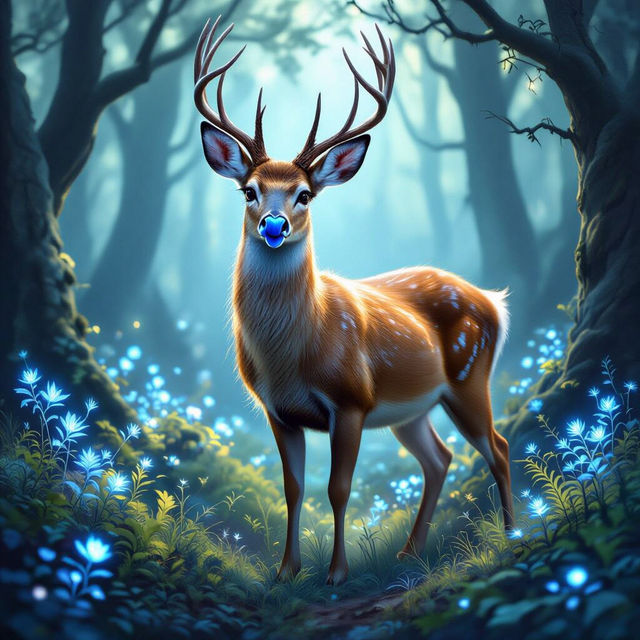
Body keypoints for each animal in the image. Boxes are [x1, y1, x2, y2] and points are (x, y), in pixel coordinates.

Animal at [194, 16, 515, 585]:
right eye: (249, 190)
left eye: (304, 194)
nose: (273, 225)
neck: (291, 357)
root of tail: (493, 302)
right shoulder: (277, 411)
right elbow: (293, 489)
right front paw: (286, 571)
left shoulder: (351, 400)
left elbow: (338, 488)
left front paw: (337, 574)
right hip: (413, 408)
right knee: (440, 459)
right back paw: (411, 552)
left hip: (468, 377)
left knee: (496, 448)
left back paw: (511, 534)